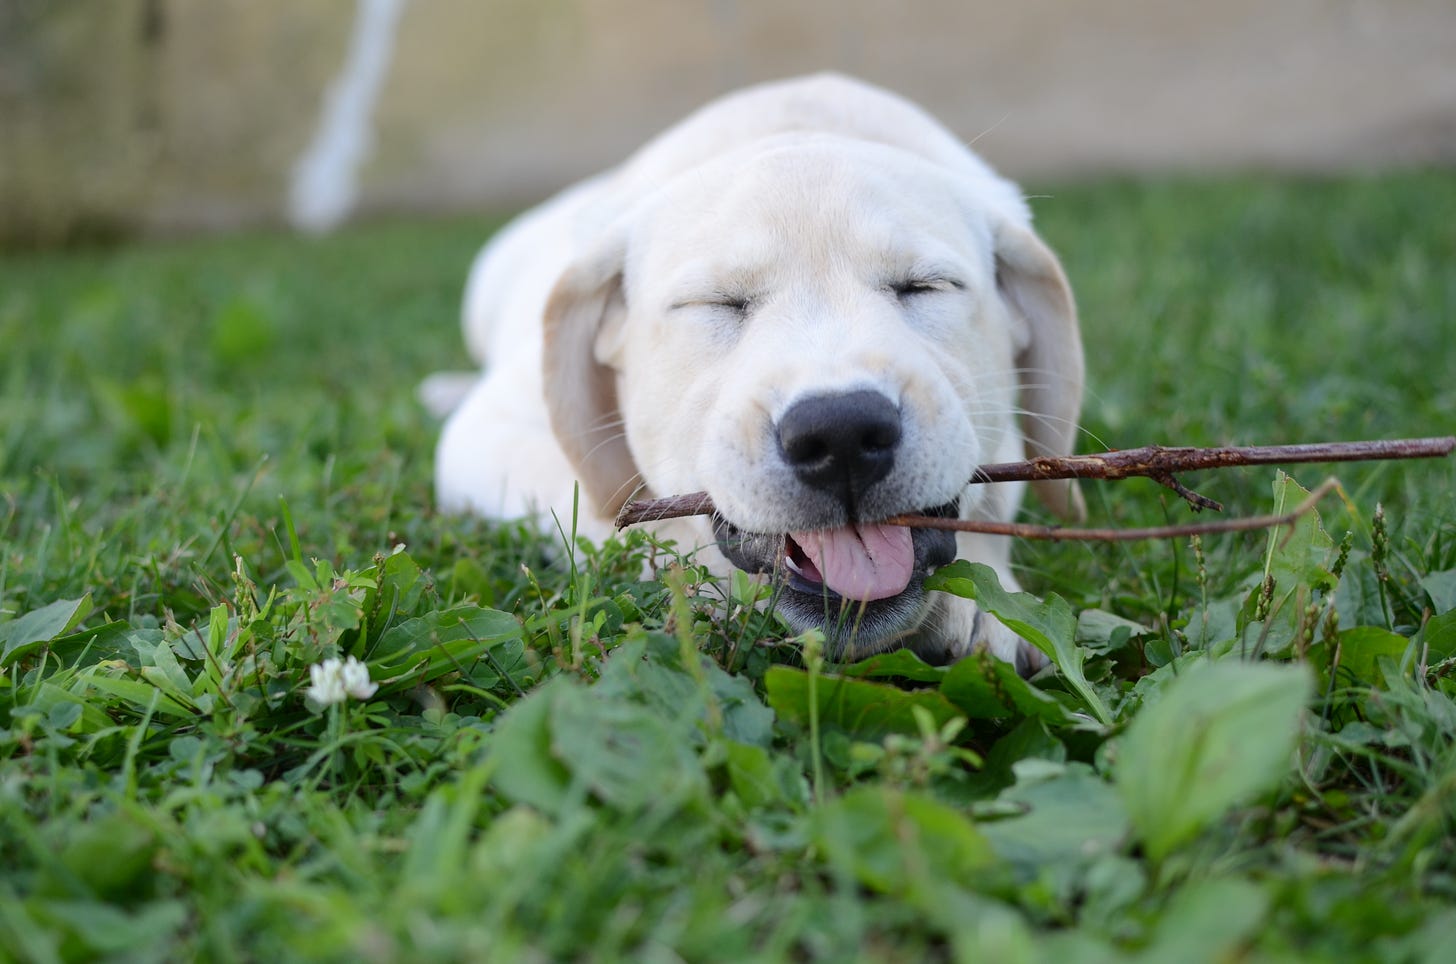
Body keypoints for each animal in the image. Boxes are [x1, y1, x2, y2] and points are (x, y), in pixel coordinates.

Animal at [430, 73, 1083, 672]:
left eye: (925, 287)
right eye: (716, 302)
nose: (842, 434)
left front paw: (986, 605)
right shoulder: (487, 433)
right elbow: (615, 513)